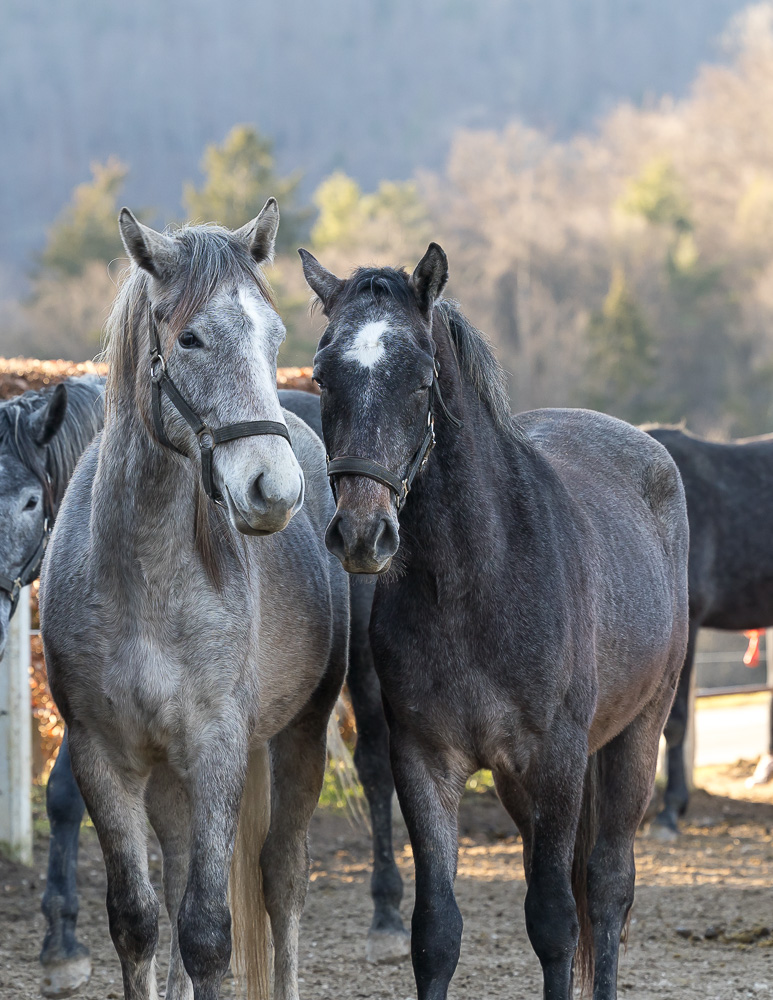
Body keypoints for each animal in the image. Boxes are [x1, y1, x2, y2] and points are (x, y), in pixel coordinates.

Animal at [40, 205, 350, 1000]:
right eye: (190, 338)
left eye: (273, 335)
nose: (273, 489)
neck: (145, 584)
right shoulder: (103, 756)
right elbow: (138, 921)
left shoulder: (216, 750)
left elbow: (210, 933)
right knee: (179, 874)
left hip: (300, 735)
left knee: (281, 881)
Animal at [300, 244, 688, 1000]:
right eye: (324, 375)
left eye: (420, 379)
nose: (361, 534)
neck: (475, 583)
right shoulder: (425, 761)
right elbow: (436, 932)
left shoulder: (558, 757)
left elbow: (554, 919)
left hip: (637, 733)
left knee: (606, 886)